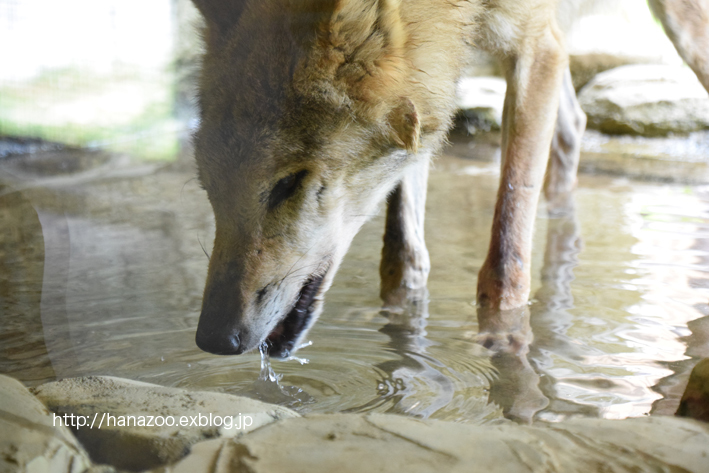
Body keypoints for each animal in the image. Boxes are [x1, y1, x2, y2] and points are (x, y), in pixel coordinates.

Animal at [192, 0, 708, 354]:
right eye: (209, 185)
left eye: (289, 183)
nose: (213, 338)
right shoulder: (432, 96)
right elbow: (402, 258)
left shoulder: (532, 46)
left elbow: (506, 258)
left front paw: (503, 349)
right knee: (572, 127)